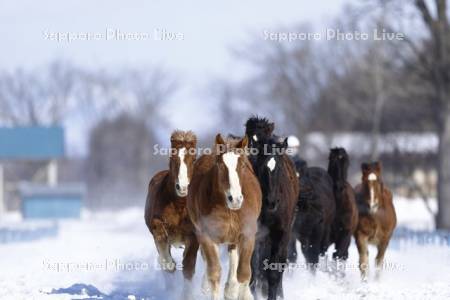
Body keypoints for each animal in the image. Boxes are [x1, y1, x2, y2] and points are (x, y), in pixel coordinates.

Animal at [144, 131, 199, 298]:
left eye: (194, 159)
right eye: (172, 157)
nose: (182, 187)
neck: (180, 206)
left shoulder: (194, 235)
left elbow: (188, 267)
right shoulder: (158, 226)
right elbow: (166, 261)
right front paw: (170, 265)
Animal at [187, 134, 264, 300]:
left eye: (242, 165)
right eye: (221, 166)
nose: (235, 199)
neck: (229, 210)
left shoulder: (247, 235)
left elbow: (244, 272)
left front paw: (241, 294)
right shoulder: (206, 236)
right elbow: (214, 272)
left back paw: (232, 290)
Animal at [244, 127, 300, 298]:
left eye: (280, 168)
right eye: (260, 166)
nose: (272, 201)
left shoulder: (281, 233)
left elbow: (274, 272)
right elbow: (252, 272)